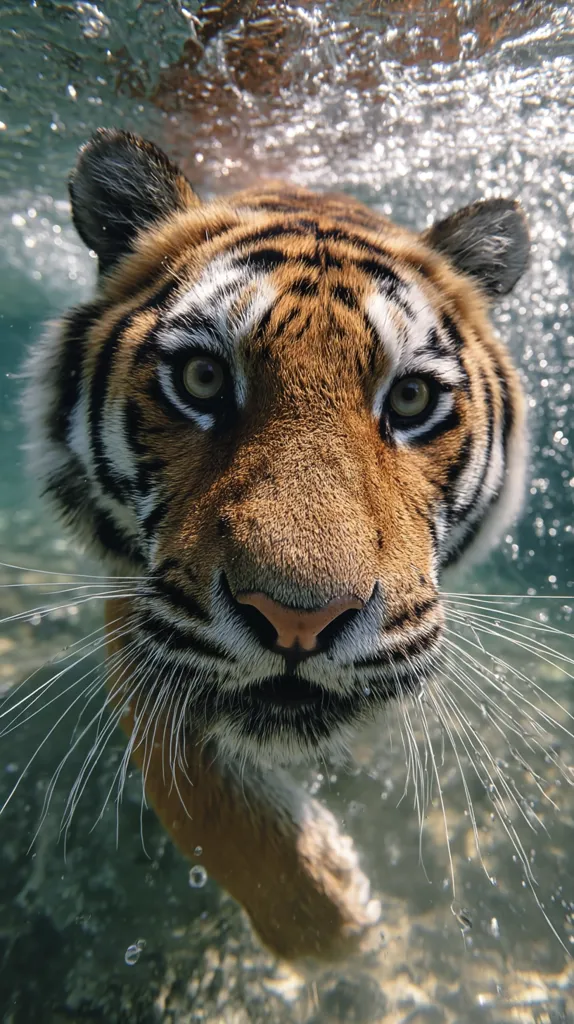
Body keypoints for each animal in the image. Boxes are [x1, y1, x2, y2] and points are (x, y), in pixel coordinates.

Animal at [23, 128, 530, 962]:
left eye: (412, 398)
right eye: (201, 378)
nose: (299, 620)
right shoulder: (145, 603)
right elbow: (191, 783)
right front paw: (331, 919)